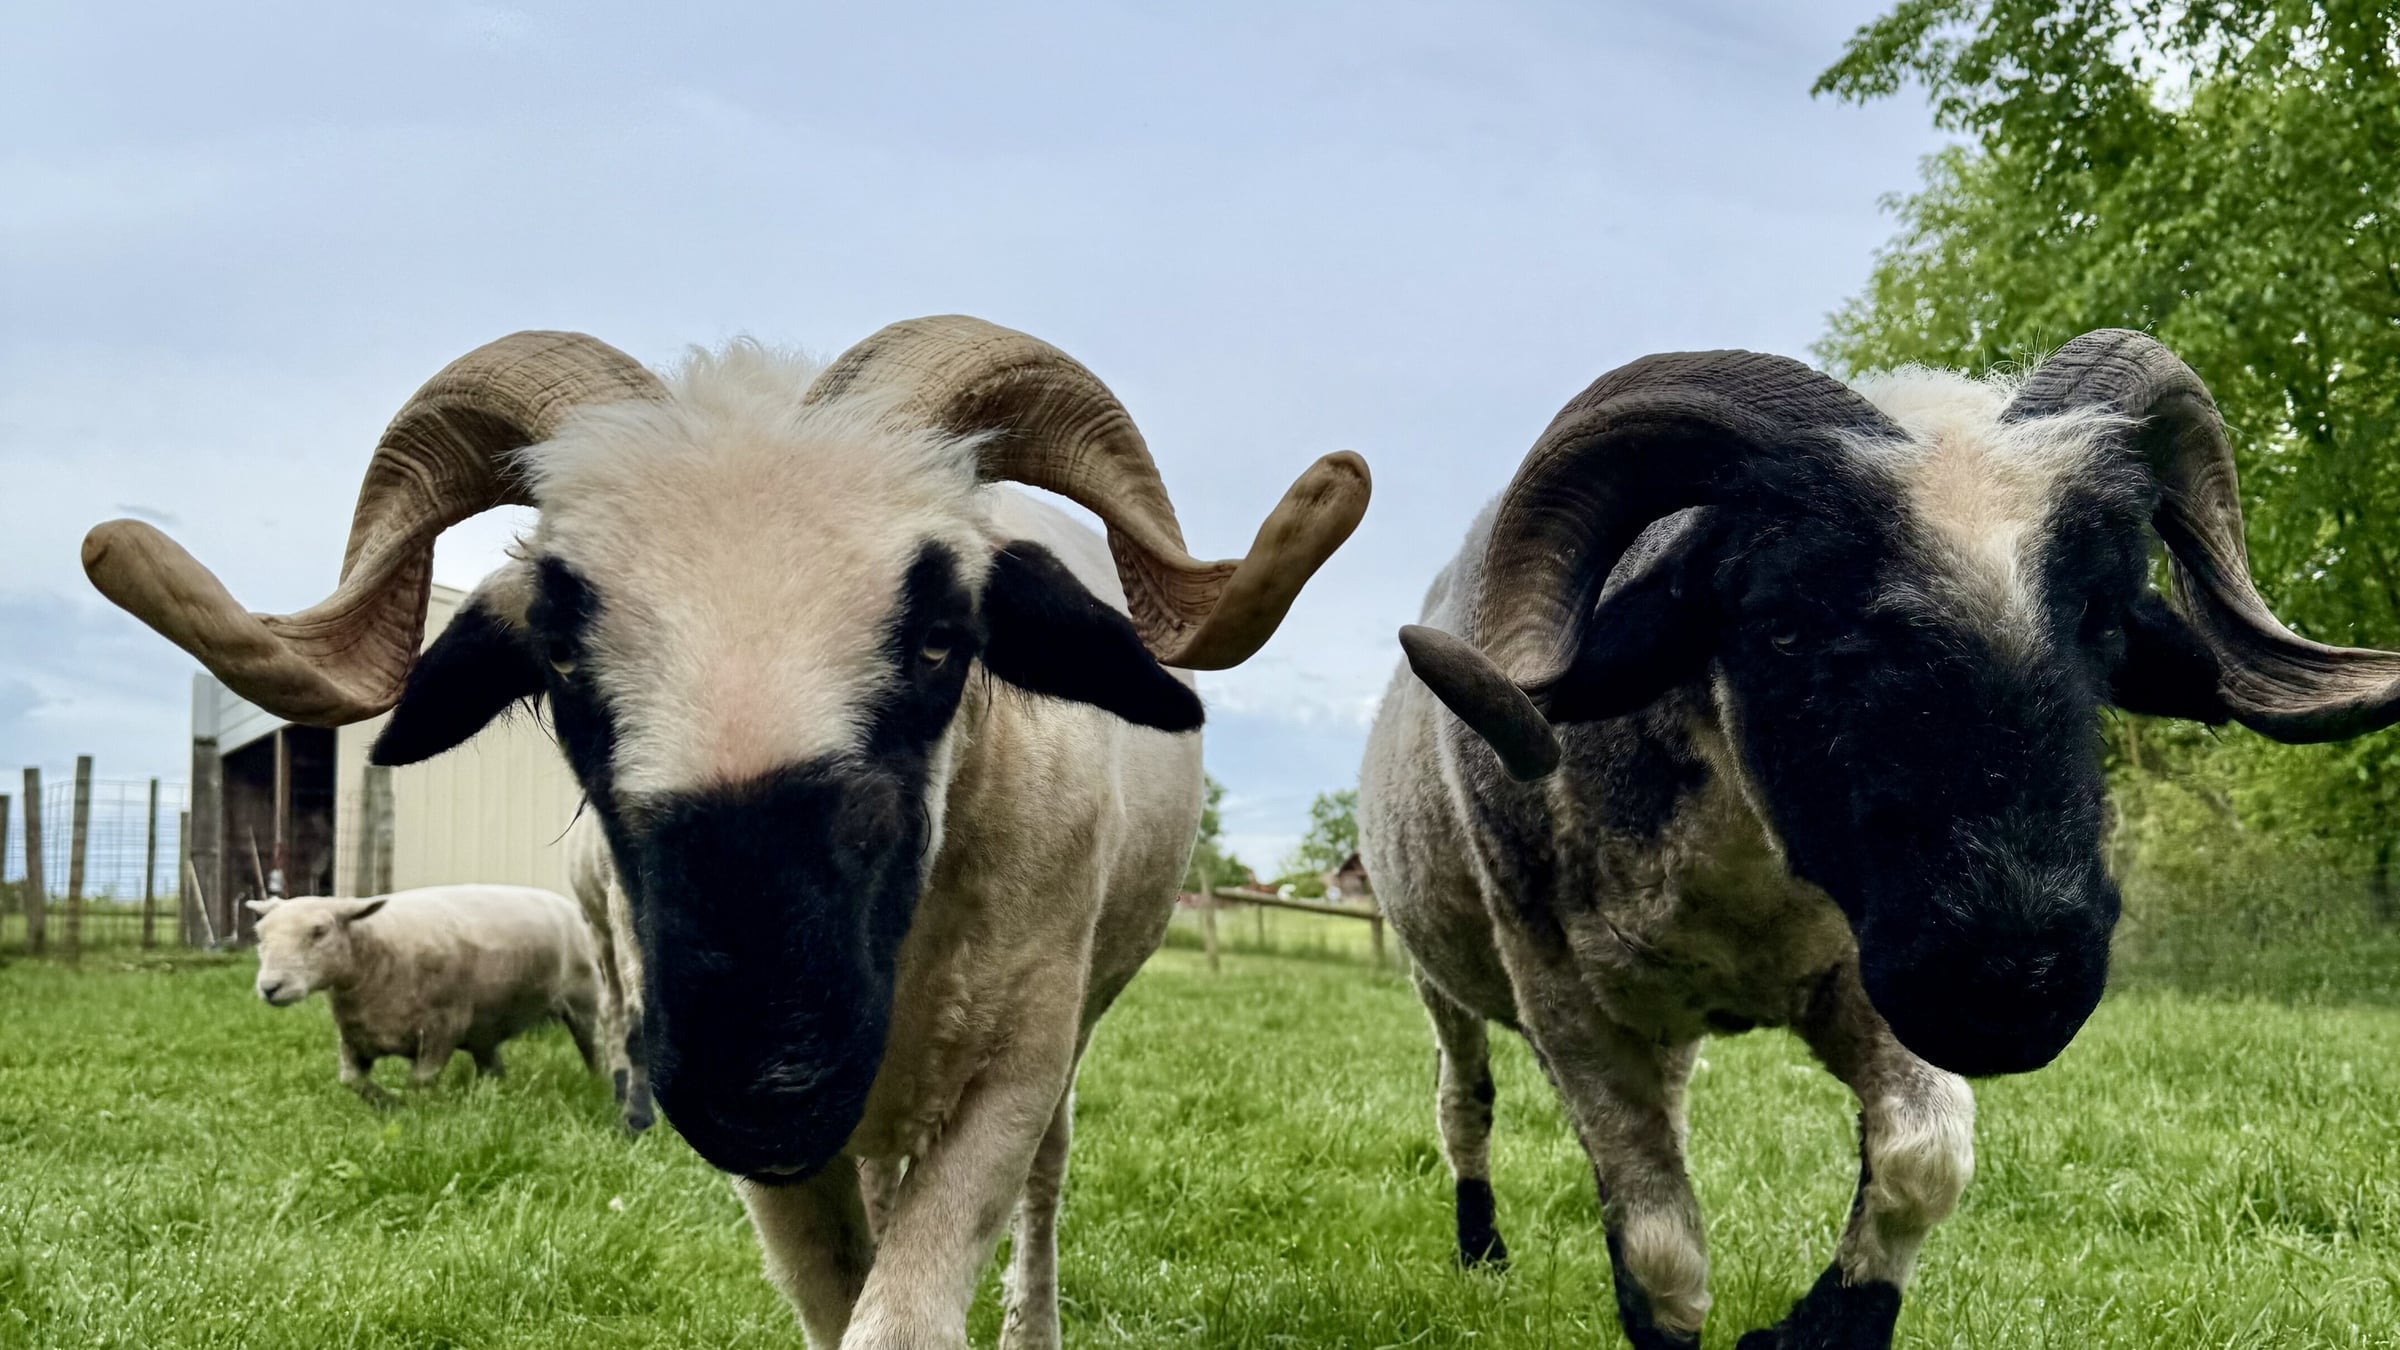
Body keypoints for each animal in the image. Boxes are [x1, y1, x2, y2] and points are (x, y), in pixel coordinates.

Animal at [248, 885, 604, 1101]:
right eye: (259, 934)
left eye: (319, 932)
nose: (269, 987)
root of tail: (568, 906)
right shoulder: (353, 1038)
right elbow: (351, 1081)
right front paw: (386, 1103)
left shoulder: (442, 1027)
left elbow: (421, 1081)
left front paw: (411, 1109)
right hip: (483, 1026)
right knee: (491, 1066)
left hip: (584, 1000)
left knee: (594, 1048)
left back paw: (598, 1085)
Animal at [1358, 330, 2400, 1350]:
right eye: (1779, 623)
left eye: (2102, 618)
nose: (2014, 985)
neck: (1740, 904)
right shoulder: (1566, 1002)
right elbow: (1660, 1253)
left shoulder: (1865, 982)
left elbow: (1922, 1156)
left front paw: (1812, 1328)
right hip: (1440, 984)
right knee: (1465, 1111)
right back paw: (1482, 1251)